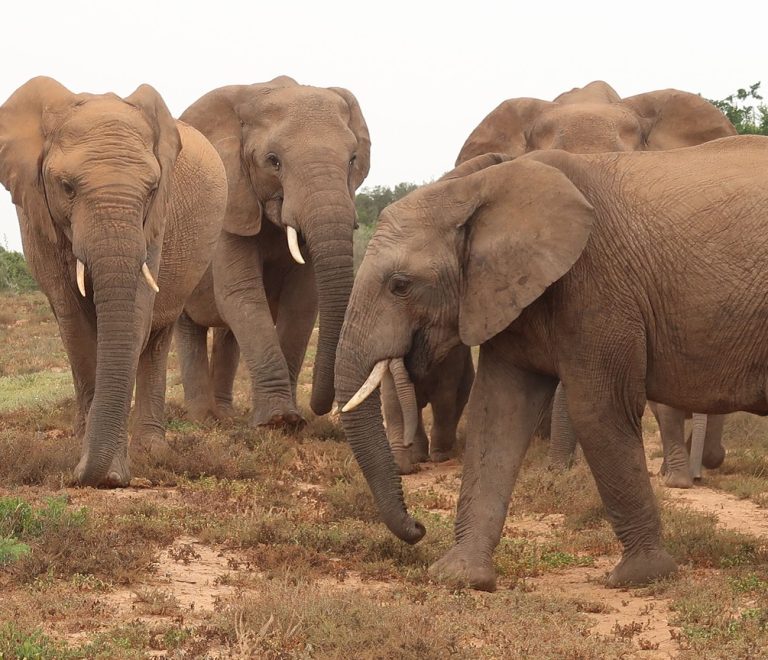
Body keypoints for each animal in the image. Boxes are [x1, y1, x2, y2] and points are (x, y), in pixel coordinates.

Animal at [0, 77, 227, 486]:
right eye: (67, 187)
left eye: (152, 189)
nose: (82, 474)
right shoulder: (37, 215)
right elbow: (74, 323)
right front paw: (87, 457)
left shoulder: (155, 221)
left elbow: (136, 314)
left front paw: (111, 471)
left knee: (157, 337)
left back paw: (152, 450)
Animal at [175, 77, 370, 428]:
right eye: (273, 160)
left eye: (352, 160)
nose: (323, 408)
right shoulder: (231, 201)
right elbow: (241, 293)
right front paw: (278, 421)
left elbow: (302, 301)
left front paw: (291, 423)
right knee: (188, 325)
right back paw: (202, 419)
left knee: (227, 332)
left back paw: (225, 416)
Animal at [335, 137, 768, 592]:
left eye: (400, 285)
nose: (417, 527)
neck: (478, 185)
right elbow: (498, 413)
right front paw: (459, 577)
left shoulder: (598, 286)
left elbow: (598, 410)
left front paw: (641, 576)